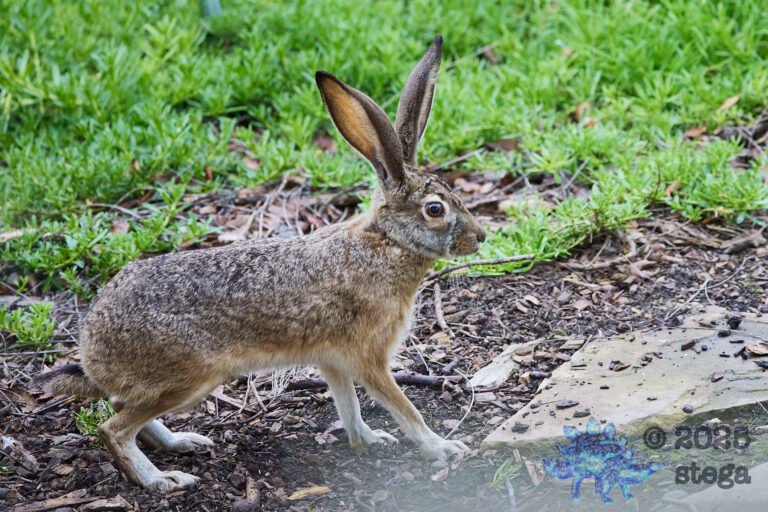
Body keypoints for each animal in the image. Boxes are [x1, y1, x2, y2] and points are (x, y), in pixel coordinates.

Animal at [37, 35, 486, 491]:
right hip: (191, 377)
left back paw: (182, 442)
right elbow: (403, 406)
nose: (480, 236)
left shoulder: (333, 359)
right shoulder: (367, 355)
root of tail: (92, 349)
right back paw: (162, 480)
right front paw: (441, 447)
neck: (387, 242)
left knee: (121, 409)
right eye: (435, 209)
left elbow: (348, 404)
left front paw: (368, 440)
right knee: (113, 428)